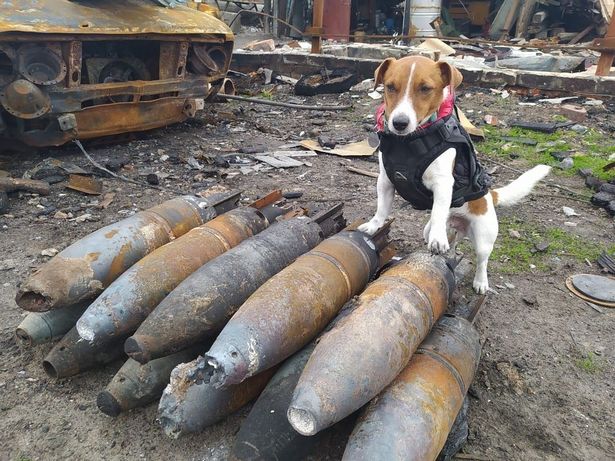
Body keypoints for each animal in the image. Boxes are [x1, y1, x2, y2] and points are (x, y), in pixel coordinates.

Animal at [358, 56, 552, 294]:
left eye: (425, 88)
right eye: (390, 87)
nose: (399, 123)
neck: (409, 143)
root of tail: (490, 197)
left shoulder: (443, 184)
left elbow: (439, 210)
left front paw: (438, 238)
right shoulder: (386, 181)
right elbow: (381, 209)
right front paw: (374, 225)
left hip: (484, 237)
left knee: (482, 260)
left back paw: (480, 281)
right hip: (443, 228)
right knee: (449, 238)